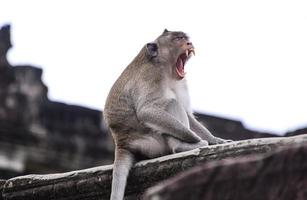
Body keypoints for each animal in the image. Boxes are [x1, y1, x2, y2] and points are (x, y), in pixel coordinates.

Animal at [103, 29, 231, 200]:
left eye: (186, 38)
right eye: (178, 38)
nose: (189, 43)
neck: (166, 69)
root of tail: (121, 142)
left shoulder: (180, 82)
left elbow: (187, 113)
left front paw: (215, 140)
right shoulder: (150, 76)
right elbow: (146, 111)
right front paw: (196, 138)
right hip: (150, 142)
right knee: (171, 104)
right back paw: (182, 146)